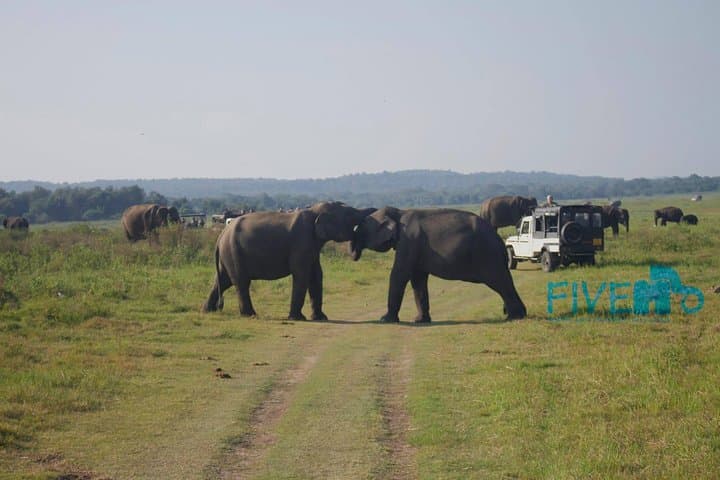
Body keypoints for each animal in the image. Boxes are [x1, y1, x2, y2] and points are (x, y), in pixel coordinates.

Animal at [202, 201, 376, 320]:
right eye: (350, 215)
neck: (313, 211)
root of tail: (221, 235)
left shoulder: (312, 246)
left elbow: (316, 276)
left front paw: (321, 318)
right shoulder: (301, 242)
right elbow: (302, 275)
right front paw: (298, 318)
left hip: (228, 255)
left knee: (222, 281)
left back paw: (206, 311)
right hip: (233, 252)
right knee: (240, 282)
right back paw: (250, 315)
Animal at [350, 207, 527, 322]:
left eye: (362, 228)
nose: (354, 255)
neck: (398, 212)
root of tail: (499, 241)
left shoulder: (409, 241)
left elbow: (400, 273)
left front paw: (385, 320)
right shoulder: (415, 247)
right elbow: (418, 279)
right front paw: (420, 320)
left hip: (487, 255)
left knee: (501, 282)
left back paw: (514, 317)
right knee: (504, 282)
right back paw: (516, 315)